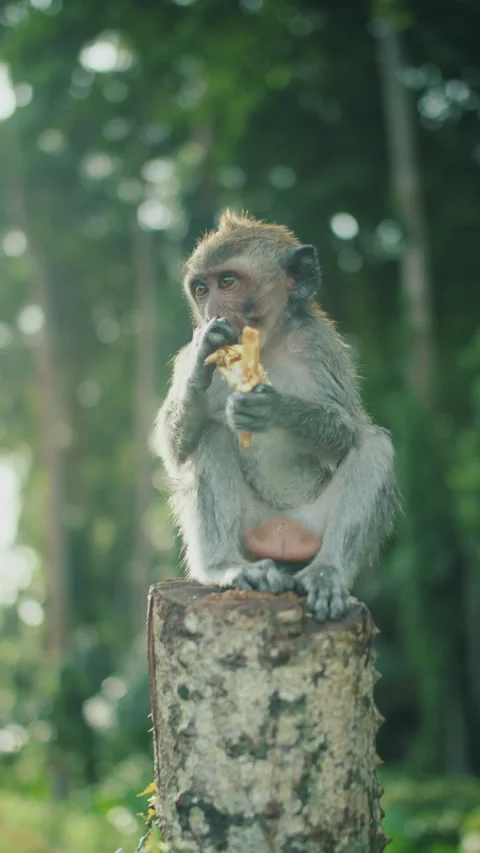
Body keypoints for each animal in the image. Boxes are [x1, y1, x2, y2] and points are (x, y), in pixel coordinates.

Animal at [152, 210, 398, 620]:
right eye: (201, 289)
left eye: (227, 282)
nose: (212, 312)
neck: (265, 346)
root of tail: (281, 532)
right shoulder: (185, 354)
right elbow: (173, 450)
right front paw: (206, 353)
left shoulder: (319, 345)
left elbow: (345, 430)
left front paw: (273, 407)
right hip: (249, 530)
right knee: (210, 436)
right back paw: (225, 568)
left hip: (313, 525)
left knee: (374, 445)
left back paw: (327, 572)